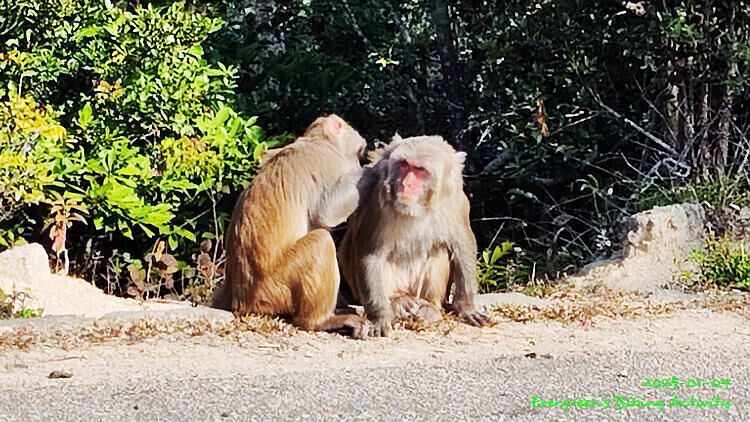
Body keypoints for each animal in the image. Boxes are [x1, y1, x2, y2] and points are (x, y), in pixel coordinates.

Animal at [212, 114, 370, 339]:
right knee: (321, 241)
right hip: (276, 288)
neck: (317, 139)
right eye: (358, 153)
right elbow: (326, 212)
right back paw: (319, 321)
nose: (357, 164)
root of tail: (241, 302)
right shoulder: (329, 161)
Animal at [338, 134, 491, 336]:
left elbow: (463, 246)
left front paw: (467, 308)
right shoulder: (378, 203)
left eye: (420, 170)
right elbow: (371, 255)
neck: (419, 206)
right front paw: (379, 318)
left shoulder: (456, 201)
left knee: (439, 249)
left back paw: (430, 307)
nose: (405, 184)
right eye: (404, 164)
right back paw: (397, 302)